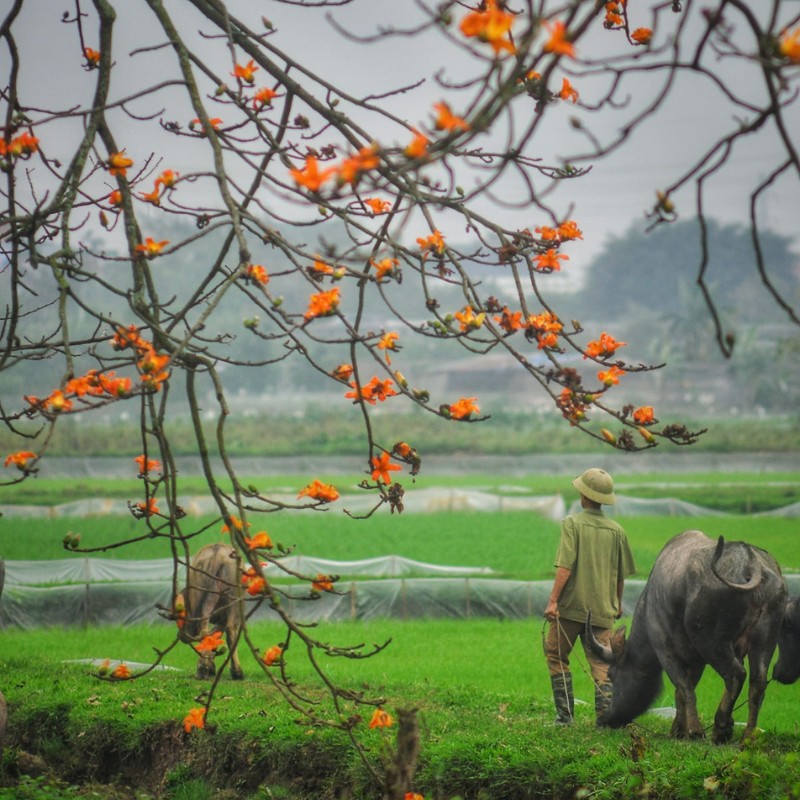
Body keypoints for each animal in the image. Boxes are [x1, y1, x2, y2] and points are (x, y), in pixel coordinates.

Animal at [177, 540, 245, 680]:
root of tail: (216, 556)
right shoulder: (225, 616)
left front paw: (208, 666)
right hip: (233, 598)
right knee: (230, 630)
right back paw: (237, 672)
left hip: (200, 591)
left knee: (203, 630)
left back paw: (202, 669)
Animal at [588, 532, 788, 744]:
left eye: (611, 674)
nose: (605, 719)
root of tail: (752, 564)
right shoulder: (697, 658)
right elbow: (684, 690)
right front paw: (679, 729)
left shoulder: (665, 650)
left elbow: (683, 686)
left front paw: (693, 731)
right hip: (765, 639)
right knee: (757, 683)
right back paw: (747, 737)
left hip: (711, 640)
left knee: (735, 675)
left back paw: (720, 728)